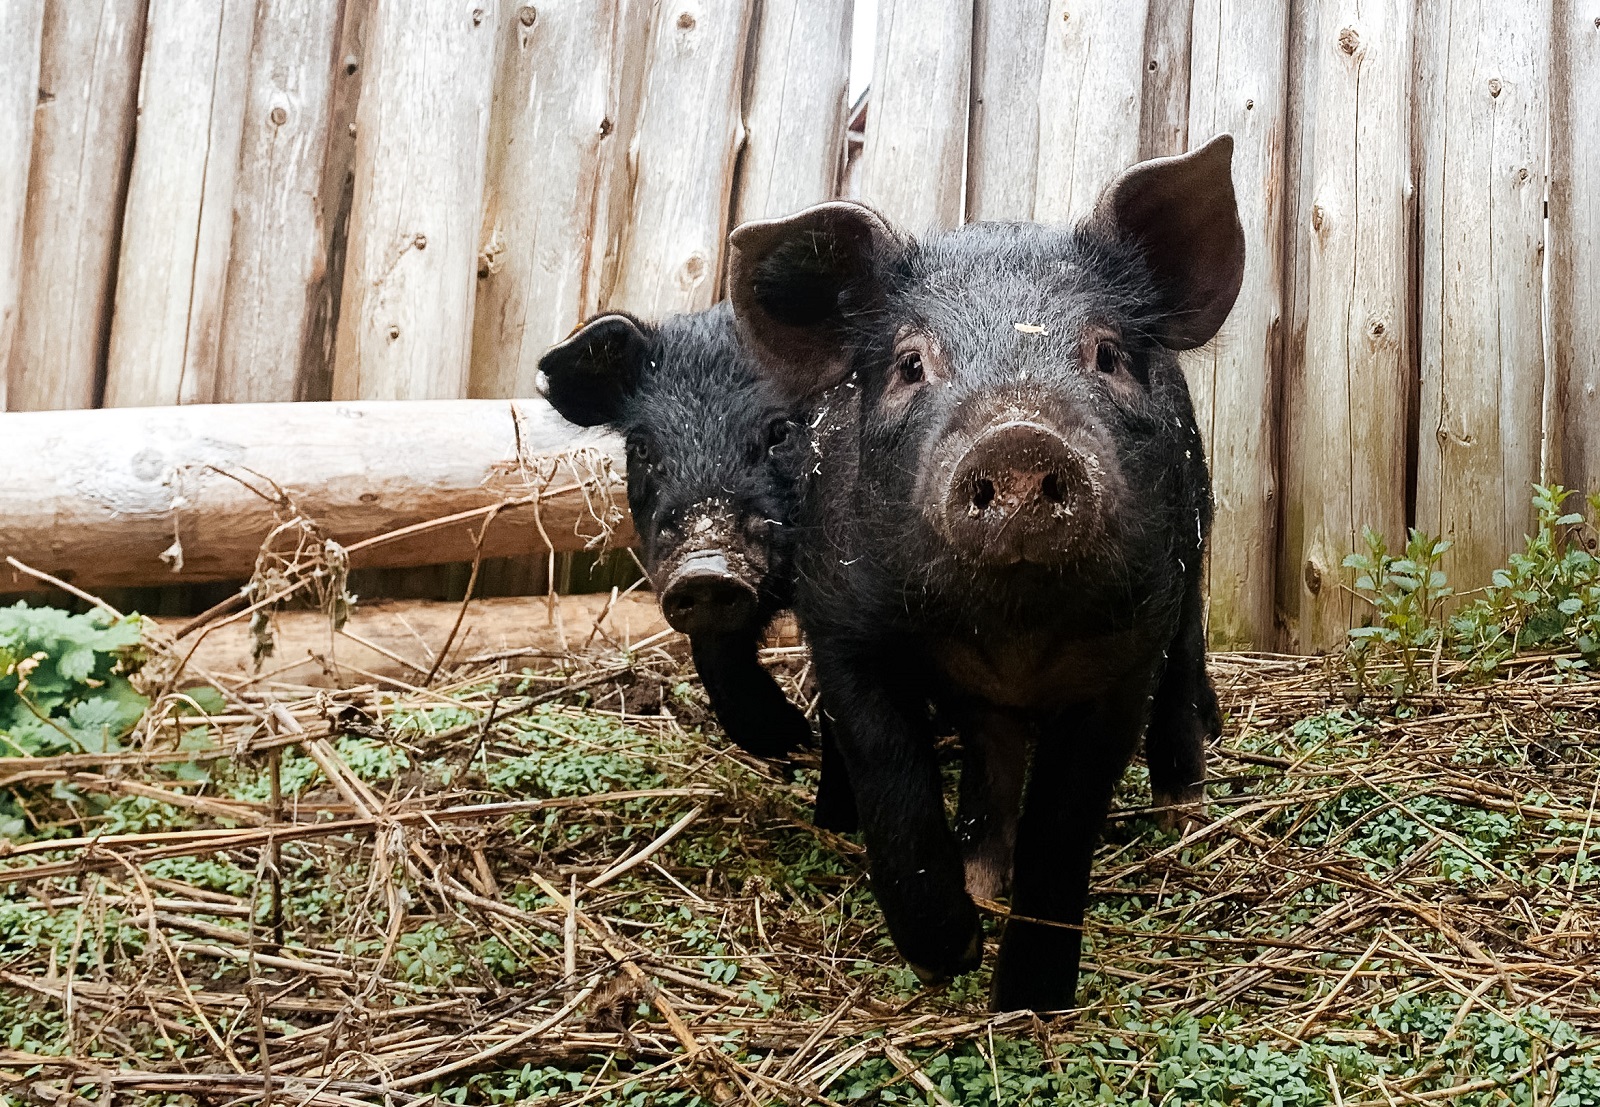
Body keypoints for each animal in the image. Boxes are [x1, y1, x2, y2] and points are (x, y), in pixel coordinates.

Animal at [538, 305, 857, 828]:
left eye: (781, 432)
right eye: (642, 447)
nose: (705, 567)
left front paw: (834, 823)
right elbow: (716, 657)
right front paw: (785, 740)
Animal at [725, 136, 1244, 1011]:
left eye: (1106, 354)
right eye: (910, 364)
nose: (1019, 437)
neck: (1012, 636)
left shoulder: (1125, 646)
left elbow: (1064, 823)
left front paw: (1030, 1000)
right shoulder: (843, 624)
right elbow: (894, 786)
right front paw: (951, 954)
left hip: (1195, 556)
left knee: (1184, 665)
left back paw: (1182, 810)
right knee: (989, 755)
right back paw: (978, 879)